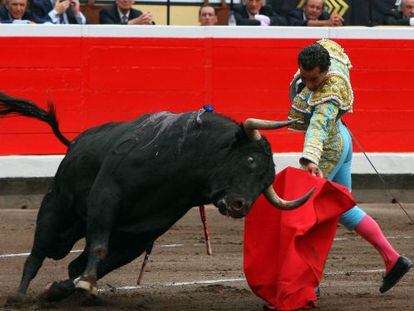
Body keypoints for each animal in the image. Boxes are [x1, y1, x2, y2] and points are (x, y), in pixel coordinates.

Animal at [0, 92, 312, 302]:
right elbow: (100, 248)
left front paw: (74, 287)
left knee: (70, 261)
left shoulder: (142, 235)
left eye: (266, 182)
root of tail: (75, 143)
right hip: (55, 208)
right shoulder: (106, 197)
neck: (184, 163)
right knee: (38, 252)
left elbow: (105, 261)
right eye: (249, 160)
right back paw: (19, 297)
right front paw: (84, 284)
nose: (240, 206)